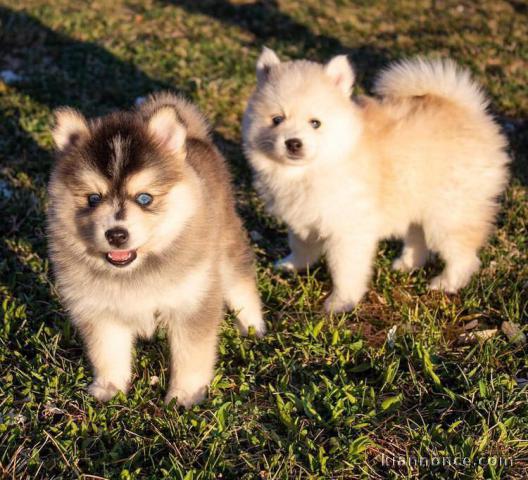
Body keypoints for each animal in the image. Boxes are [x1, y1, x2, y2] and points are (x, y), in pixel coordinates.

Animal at [48, 91, 266, 404]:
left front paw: (185, 395)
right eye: (93, 198)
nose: (116, 234)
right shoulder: (99, 310)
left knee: (240, 282)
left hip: (226, 245)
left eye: (144, 198)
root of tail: (195, 138)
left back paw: (251, 325)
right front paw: (110, 387)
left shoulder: (192, 301)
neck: (134, 272)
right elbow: (107, 352)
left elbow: (191, 356)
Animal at [242, 48, 508, 312]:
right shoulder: (303, 217)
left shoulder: (348, 230)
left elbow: (345, 271)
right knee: (417, 236)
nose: (293, 143)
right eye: (277, 119)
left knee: (463, 254)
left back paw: (446, 283)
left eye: (315, 123)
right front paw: (292, 265)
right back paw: (407, 263)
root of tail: (467, 109)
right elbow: (300, 245)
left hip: (449, 213)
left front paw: (340, 303)